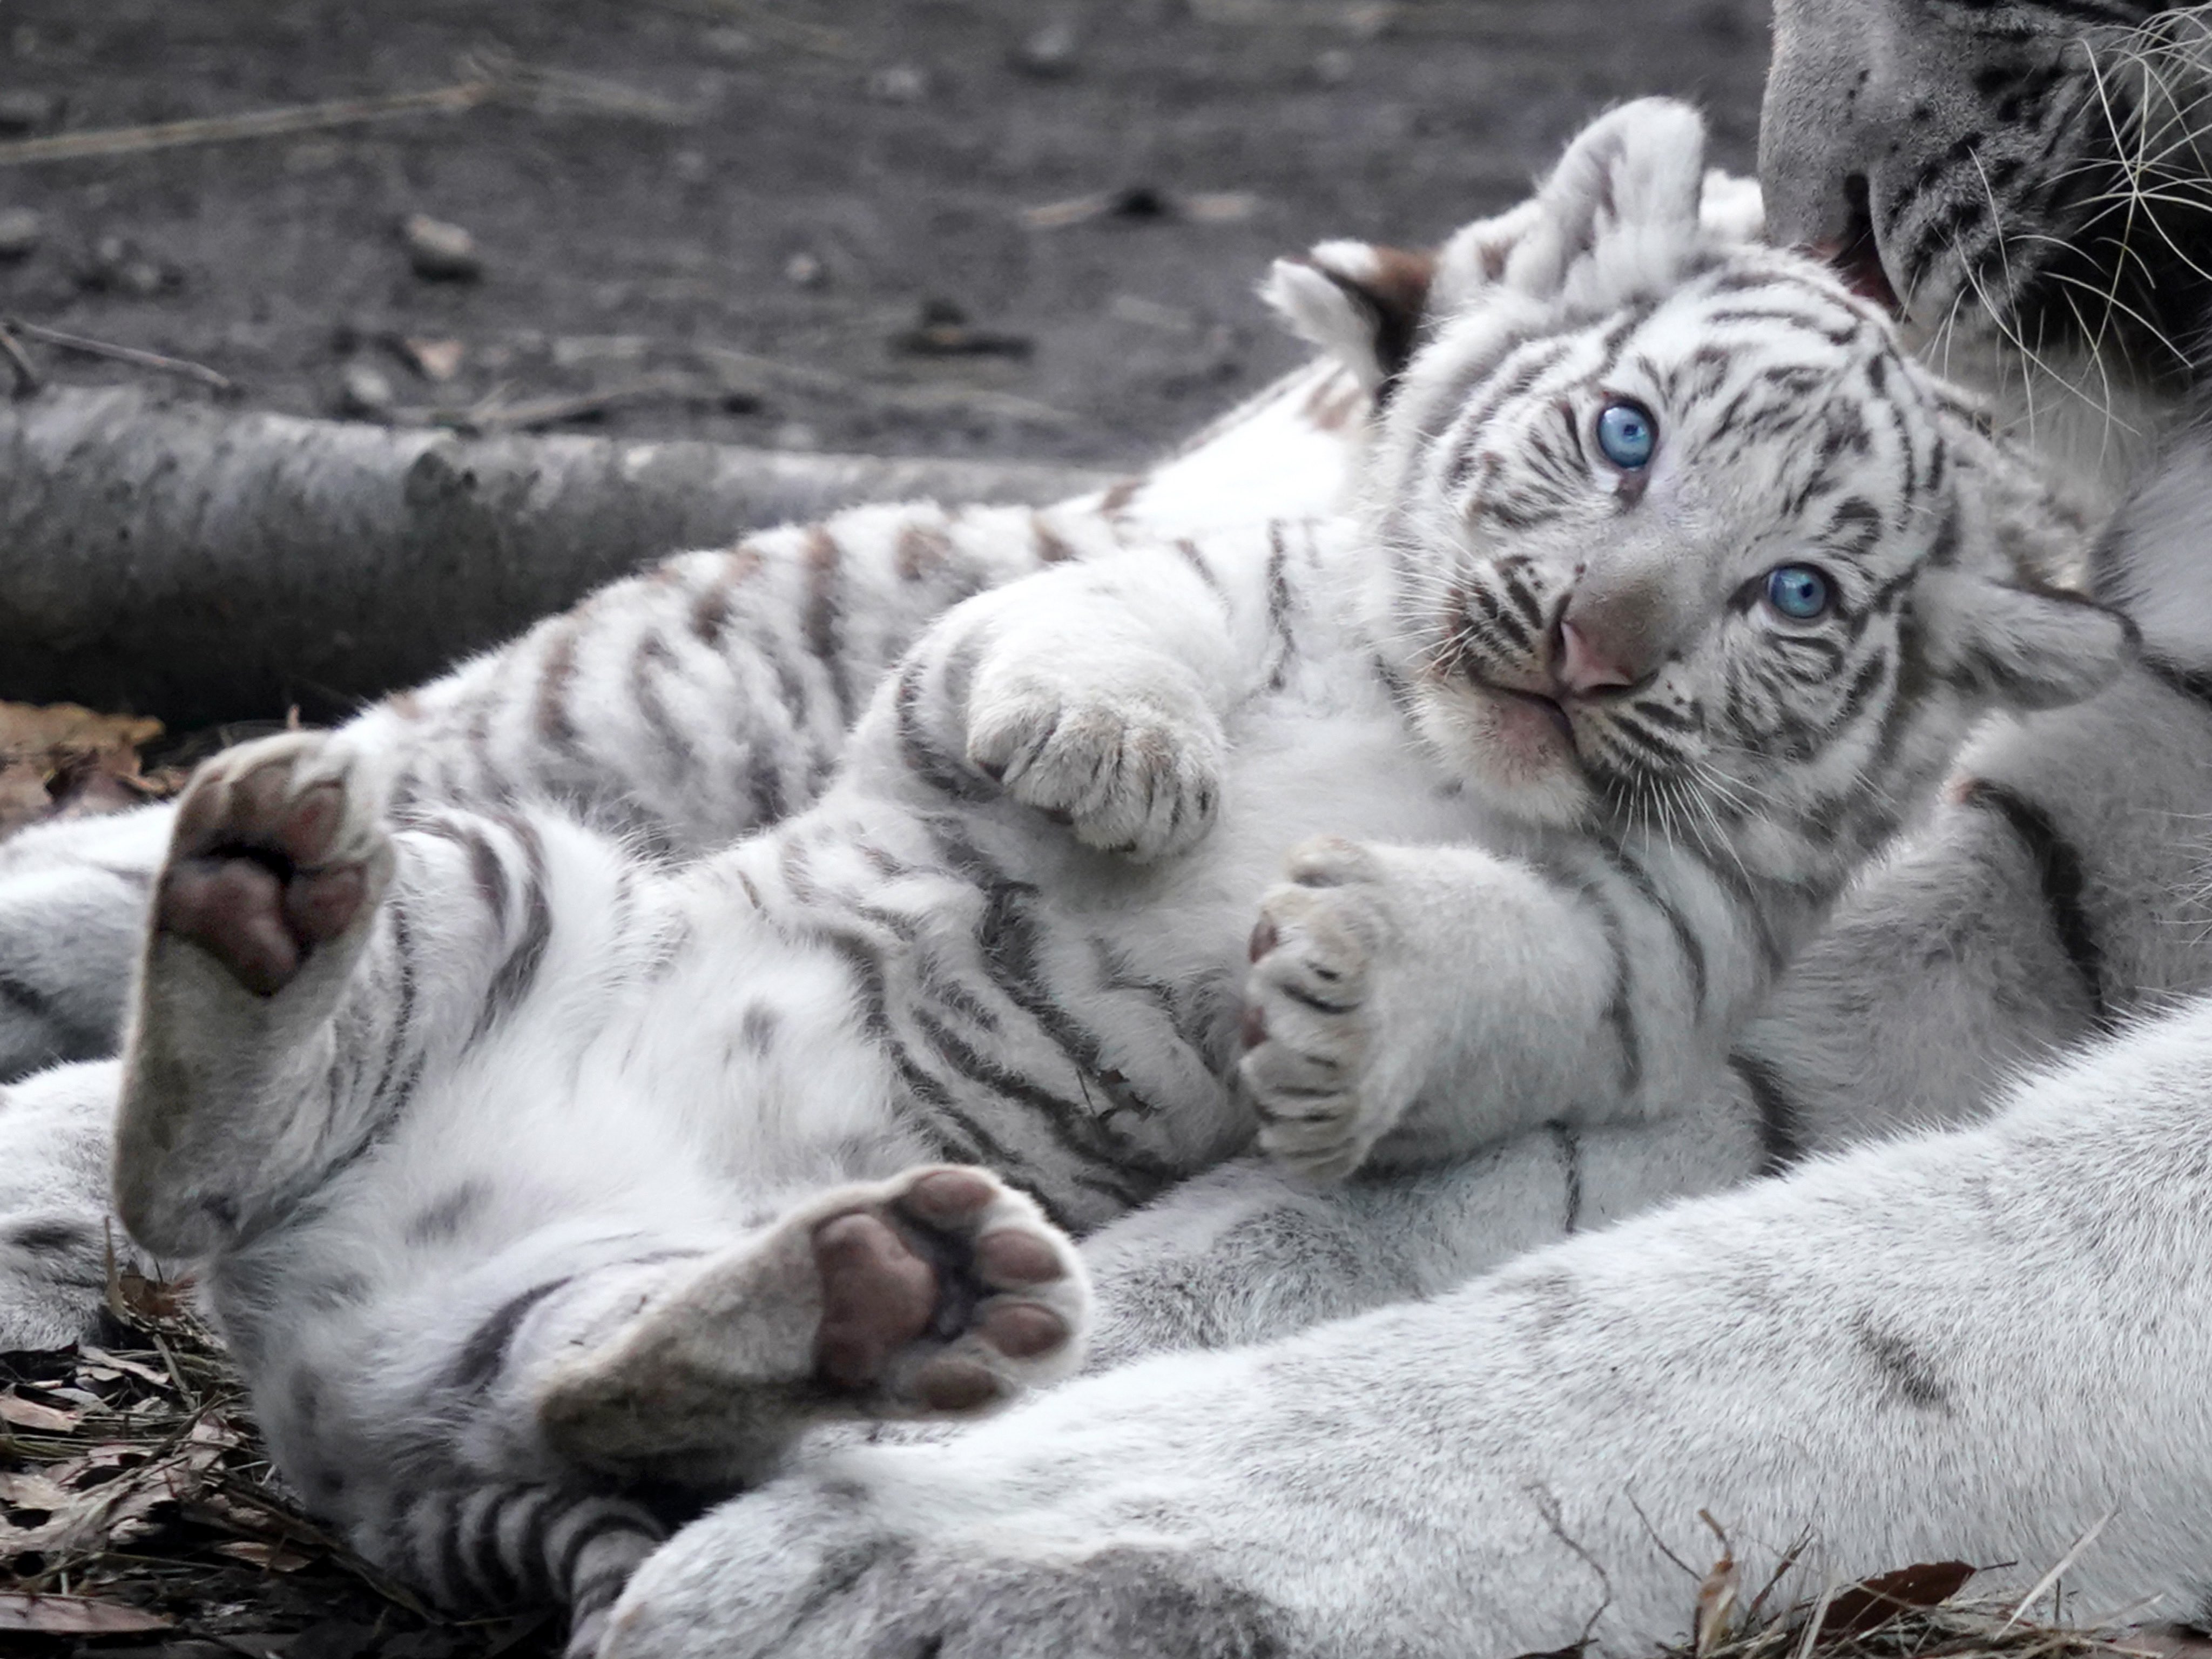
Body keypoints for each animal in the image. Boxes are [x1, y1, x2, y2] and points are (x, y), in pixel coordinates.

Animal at [592, 10, 2212, 1659]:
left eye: (1801, 589)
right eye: (1622, 438)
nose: (1831, 222)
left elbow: (1840, 1302)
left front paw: (944, 1549)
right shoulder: (2061, 861)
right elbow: (1466, 1183)